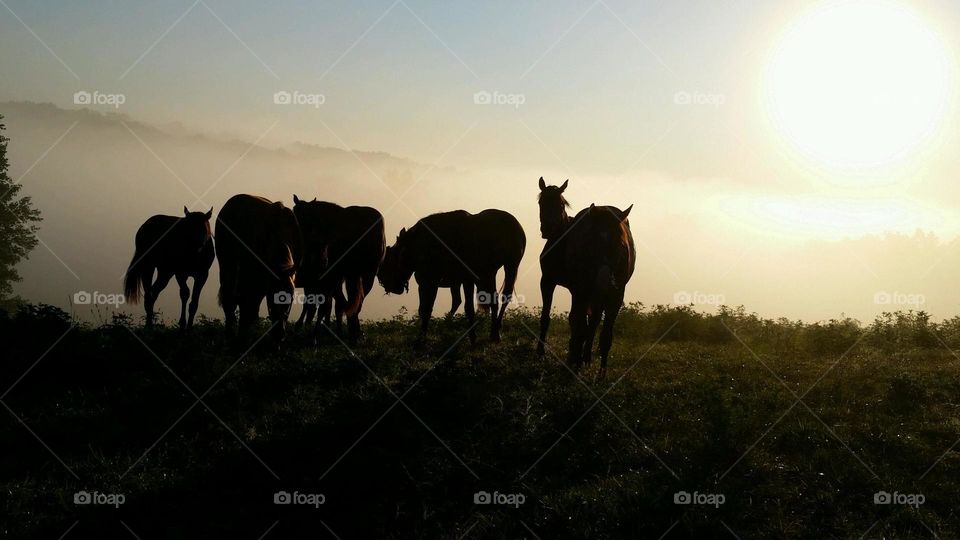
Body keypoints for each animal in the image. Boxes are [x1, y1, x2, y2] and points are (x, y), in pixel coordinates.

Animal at [216, 194, 303, 346]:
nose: (279, 334)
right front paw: (243, 337)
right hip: (228, 265)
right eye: (273, 298)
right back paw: (231, 334)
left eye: (290, 299)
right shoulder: (256, 281)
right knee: (230, 299)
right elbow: (248, 307)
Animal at [378, 209, 525, 343]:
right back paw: (493, 332)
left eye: (389, 259)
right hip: (489, 273)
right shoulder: (427, 282)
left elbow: (465, 307)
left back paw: (496, 332)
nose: (385, 283)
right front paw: (421, 336)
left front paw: (472, 338)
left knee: (505, 296)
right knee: (493, 299)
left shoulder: (445, 281)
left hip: (511, 265)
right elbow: (423, 309)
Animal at [537, 177, 635, 376]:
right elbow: (550, 318)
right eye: (541, 202)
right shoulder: (550, 282)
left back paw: (583, 357)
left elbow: (599, 331)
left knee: (591, 323)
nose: (548, 229)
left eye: (561, 204)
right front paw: (543, 354)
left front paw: (598, 370)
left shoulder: (613, 295)